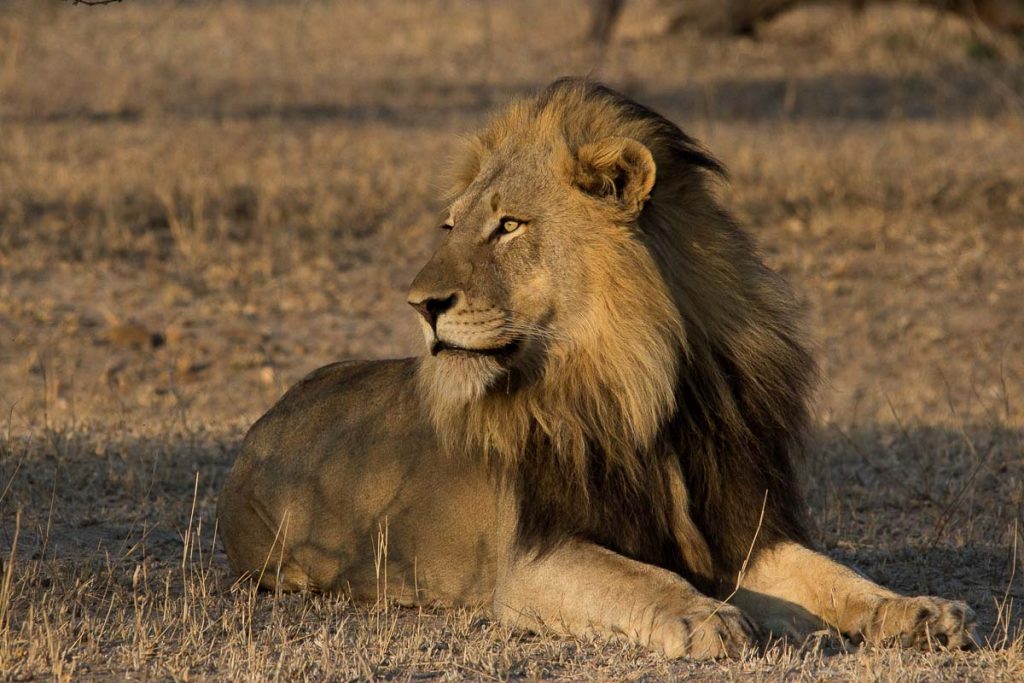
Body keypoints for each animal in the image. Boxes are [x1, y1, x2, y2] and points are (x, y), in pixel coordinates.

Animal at [218, 78, 976, 659]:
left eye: (509, 226)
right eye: (452, 226)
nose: (420, 305)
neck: (642, 390)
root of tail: (263, 420)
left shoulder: (743, 525)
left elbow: (835, 577)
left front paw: (918, 611)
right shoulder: (530, 559)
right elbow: (637, 578)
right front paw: (706, 616)